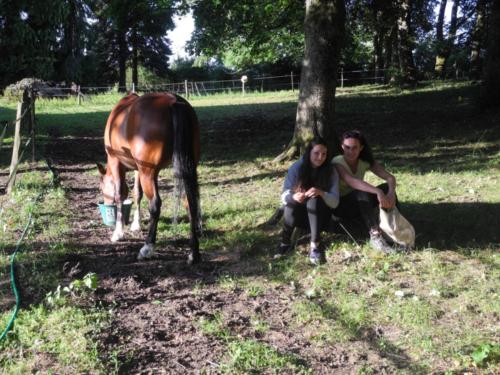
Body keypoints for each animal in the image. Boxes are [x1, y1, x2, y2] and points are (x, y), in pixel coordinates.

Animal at [96, 93, 200, 264]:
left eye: (102, 188)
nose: (105, 203)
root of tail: (173, 101)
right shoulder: (139, 169)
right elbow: (137, 194)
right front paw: (136, 224)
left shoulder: (116, 161)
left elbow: (119, 195)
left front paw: (118, 232)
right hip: (184, 168)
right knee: (190, 203)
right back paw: (193, 252)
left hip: (148, 173)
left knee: (155, 204)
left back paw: (147, 247)